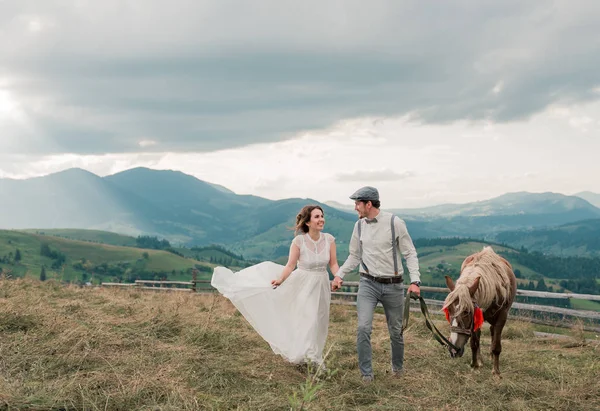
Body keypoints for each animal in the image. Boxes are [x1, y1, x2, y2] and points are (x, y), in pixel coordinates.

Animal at [440, 246, 516, 378]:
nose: (453, 350)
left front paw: (496, 372)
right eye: (448, 310)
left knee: (493, 332)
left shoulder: (502, 316)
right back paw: (480, 360)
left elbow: (496, 345)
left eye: (466, 311)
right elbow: (474, 342)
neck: (494, 290)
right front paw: (475, 365)